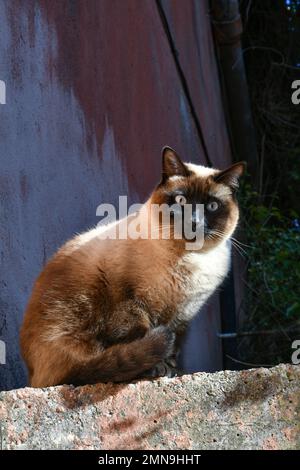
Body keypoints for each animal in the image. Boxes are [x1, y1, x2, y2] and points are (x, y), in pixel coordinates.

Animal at [19, 149, 244, 388]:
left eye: (212, 206)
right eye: (181, 200)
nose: (194, 222)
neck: (189, 259)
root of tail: (32, 376)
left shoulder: (182, 315)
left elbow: (173, 348)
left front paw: (172, 370)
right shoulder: (132, 302)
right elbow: (142, 335)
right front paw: (156, 369)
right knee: (85, 369)